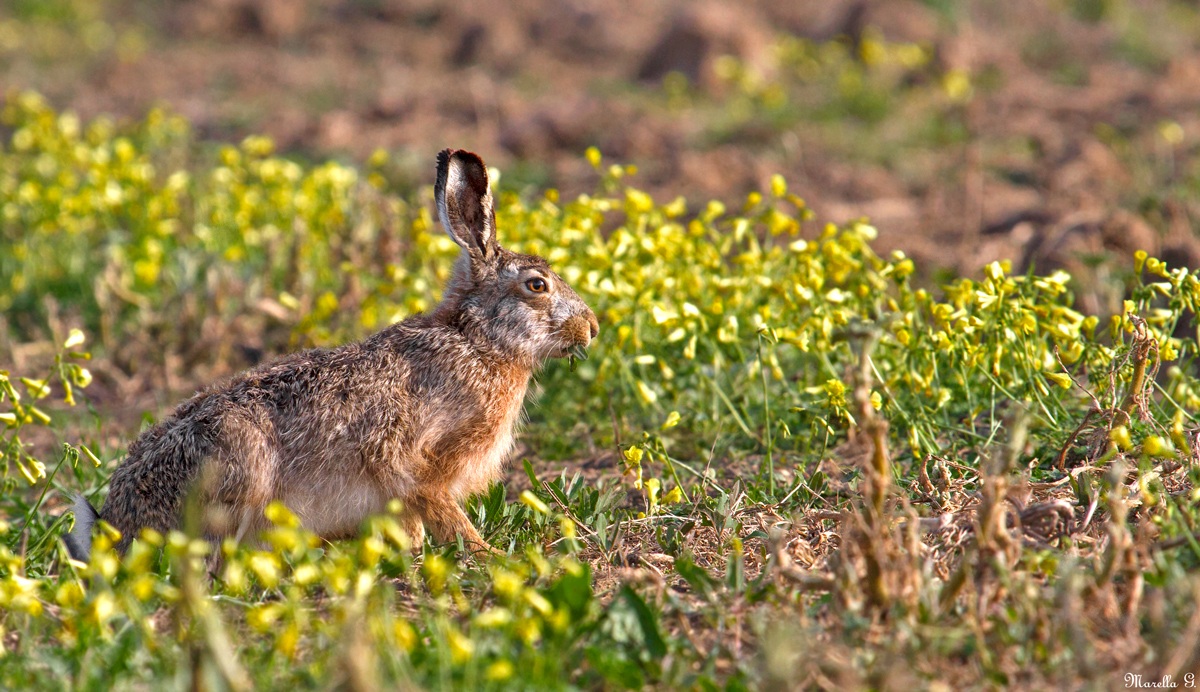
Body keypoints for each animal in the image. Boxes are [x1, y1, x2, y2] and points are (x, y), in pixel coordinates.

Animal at [64, 148, 599, 561]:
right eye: (537, 285)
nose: (591, 328)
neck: (478, 341)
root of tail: (116, 526)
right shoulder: (422, 463)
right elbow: (443, 513)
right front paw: (487, 555)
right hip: (240, 462)